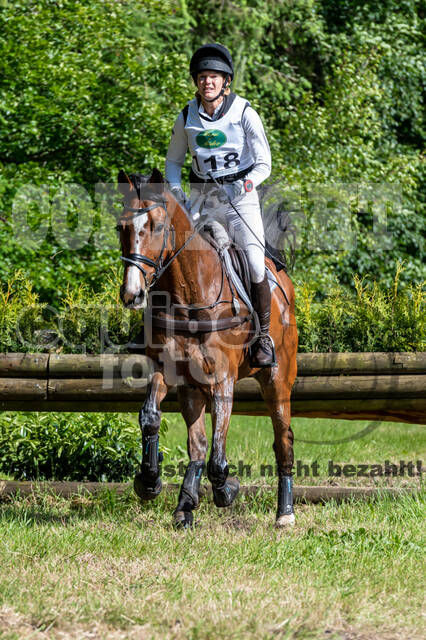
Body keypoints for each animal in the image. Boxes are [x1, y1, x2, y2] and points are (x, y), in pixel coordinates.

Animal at [116, 169, 298, 528]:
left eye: (157, 226)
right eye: (121, 228)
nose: (132, 294)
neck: (189, 293)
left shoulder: (223, 379)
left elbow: (218, 453)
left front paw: (227, 489)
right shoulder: (170, 371)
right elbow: (151, 417)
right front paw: (149, 481)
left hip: (277, 381)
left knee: (282, 439)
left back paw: (284, 513)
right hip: (193, 389)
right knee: (198, 445)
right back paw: (185, 505)